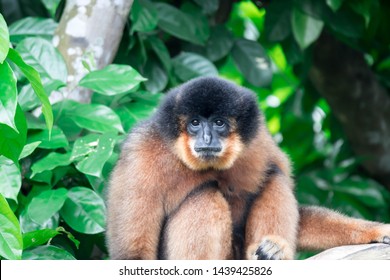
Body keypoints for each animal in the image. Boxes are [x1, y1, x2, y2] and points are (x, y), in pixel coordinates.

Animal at [105, 75, 390, 260]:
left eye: (219, 123)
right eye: (195, 123)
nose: (207, 138)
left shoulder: (261, 142)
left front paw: (378, 231)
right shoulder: (141, 155)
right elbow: (132, 253)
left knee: (273, 177)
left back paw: (272, 252)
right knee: (204, 194)